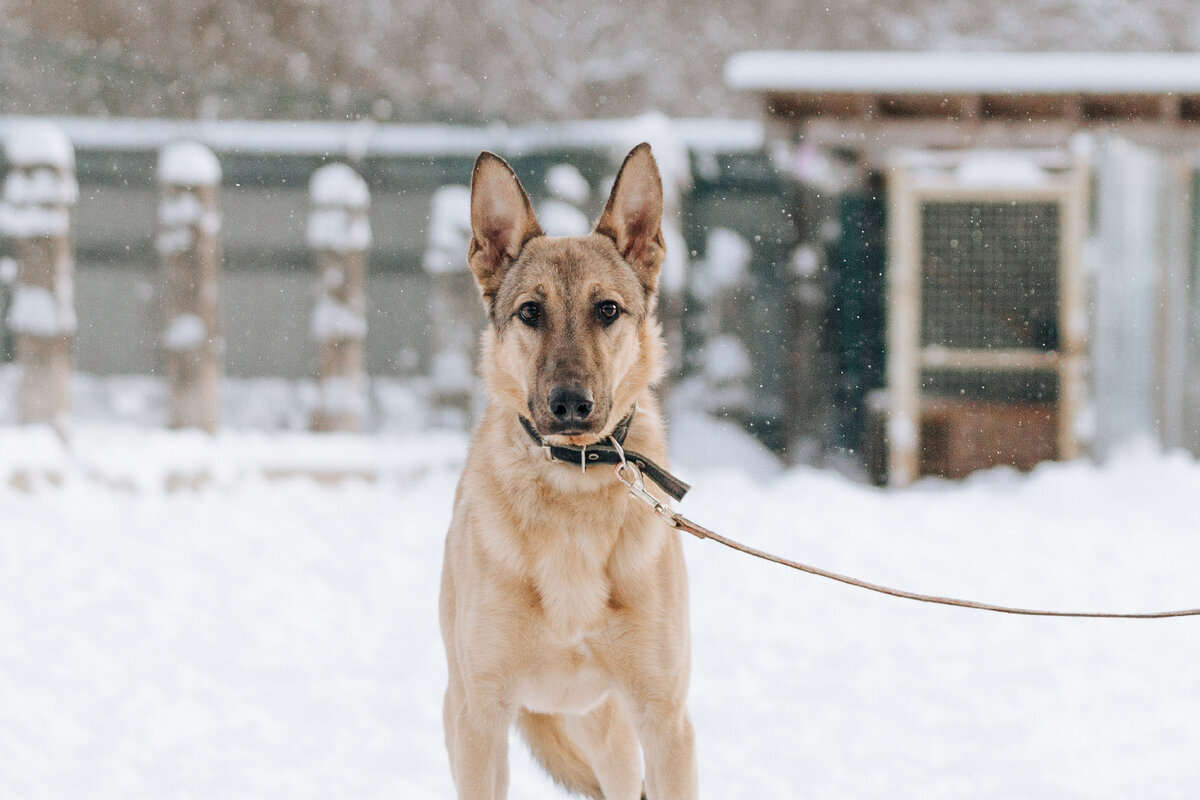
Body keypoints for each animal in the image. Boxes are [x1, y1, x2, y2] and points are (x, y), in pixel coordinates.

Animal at [441, 145, 700, 800]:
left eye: (607, 309)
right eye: (530, 312)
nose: (570, 406)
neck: (574, 483)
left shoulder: (664, 720)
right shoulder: (477, 718)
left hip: (611, 735)